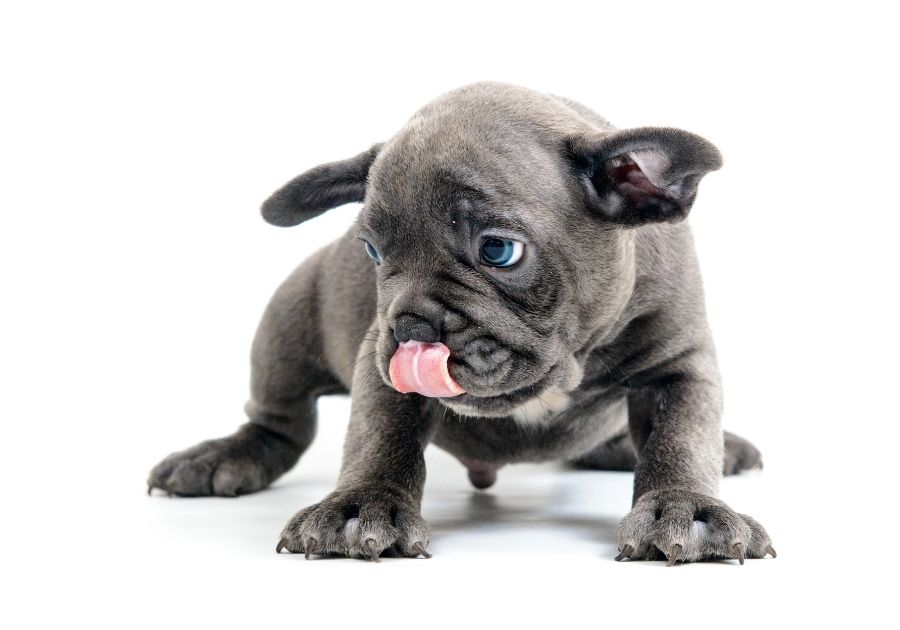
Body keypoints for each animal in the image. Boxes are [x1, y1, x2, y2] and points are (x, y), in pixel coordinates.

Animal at [148, 81, 772, 564]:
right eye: (372, 251)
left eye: (498, 250)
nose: (412, 327)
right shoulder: (378, 364)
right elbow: (381, 436)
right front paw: (361, 504)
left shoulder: (678, 364)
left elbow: (680, 438)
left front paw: (686, 508)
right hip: (286, 322)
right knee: (280, 421)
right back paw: (222, 456)